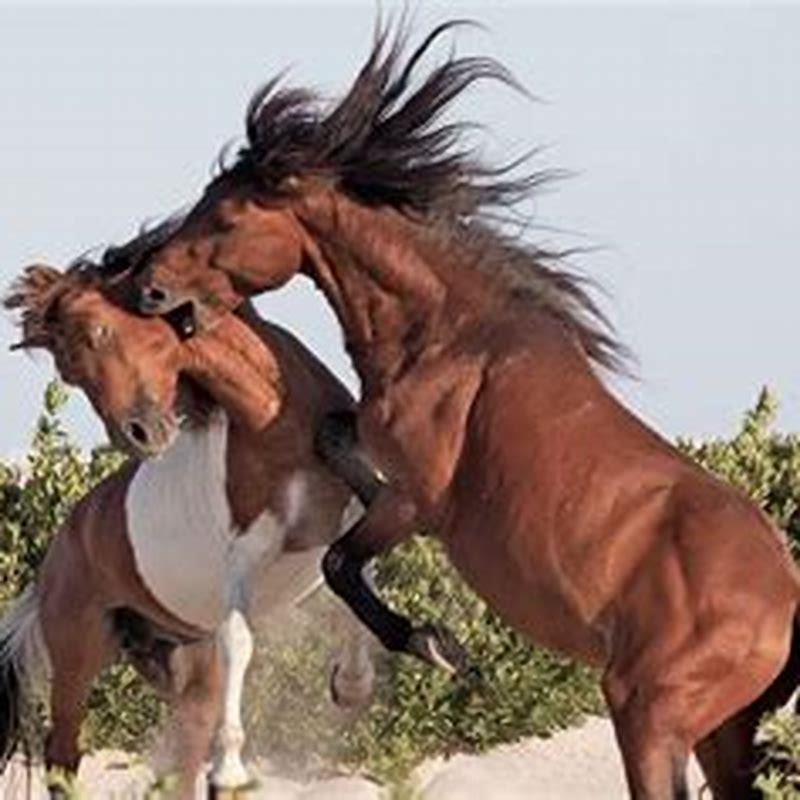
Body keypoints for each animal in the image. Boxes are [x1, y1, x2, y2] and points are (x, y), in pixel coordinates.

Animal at [2, 261, 375, 798]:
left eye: (101, 331)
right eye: (69, 372)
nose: (139, 436)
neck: (277, 423)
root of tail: (58, 553)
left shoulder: (356, 514)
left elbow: (356, 585)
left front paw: (350, 686)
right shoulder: (246, 555)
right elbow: (240, 639)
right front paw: (233, 769)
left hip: (180, 662)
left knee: (184, 755)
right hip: (77, 657)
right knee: (63, 756)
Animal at [129, 21, 800, 799]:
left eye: (228, 215)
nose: (147, 286)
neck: (449, 333)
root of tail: (787, 599)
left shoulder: (420, 500)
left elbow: (340, 561)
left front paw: (424, 649)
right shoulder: (380, 463)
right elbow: (335, 451)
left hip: (650, 716)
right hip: (724, 733)